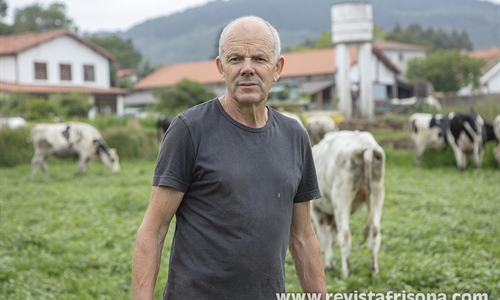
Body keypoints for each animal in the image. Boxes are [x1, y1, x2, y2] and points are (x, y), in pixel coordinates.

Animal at [310, 131, 384, 278]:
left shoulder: (315, 210)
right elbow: (331, 237)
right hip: (377, 194)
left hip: (341, 198)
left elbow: (325, 237)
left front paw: (328, 264)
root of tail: (366, 144)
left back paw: (345, 273)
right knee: (374, 232)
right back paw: (374, 271)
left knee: (344, 235)